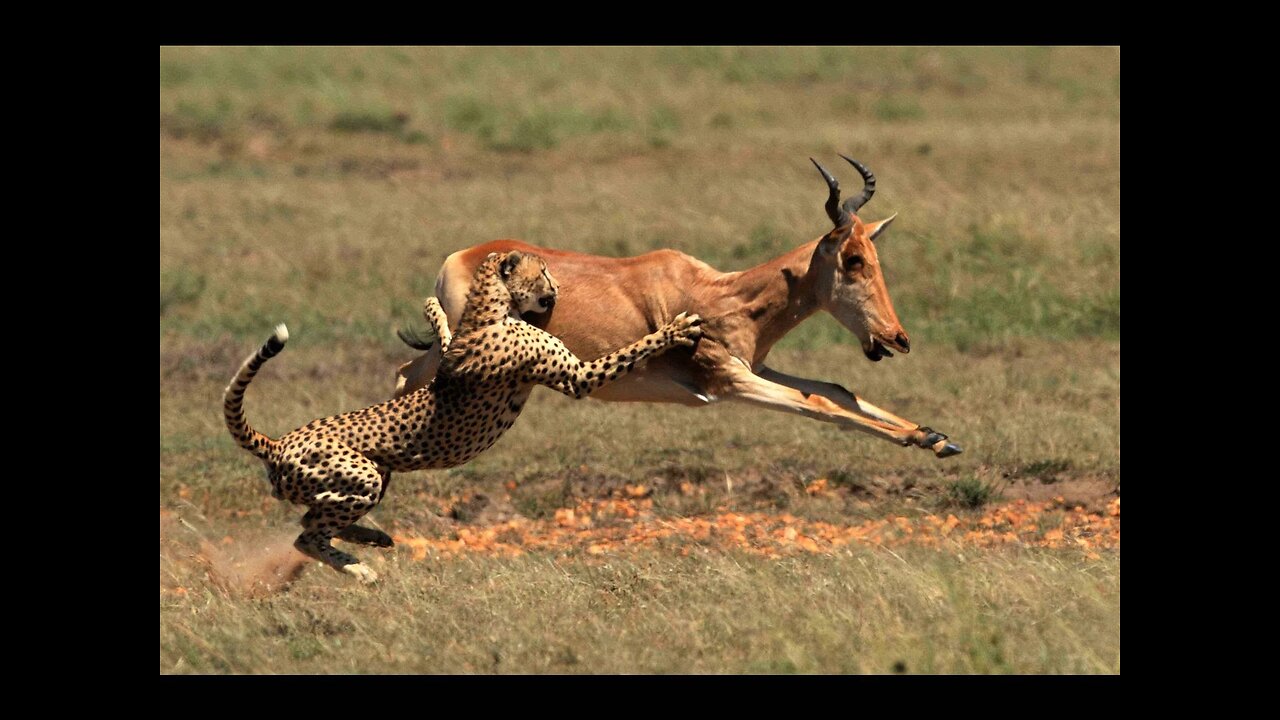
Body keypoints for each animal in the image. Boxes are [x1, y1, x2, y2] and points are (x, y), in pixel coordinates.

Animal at [225, 249, 706, 579]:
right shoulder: (578, 378)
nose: (557, 289)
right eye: (543, 270)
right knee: (307, 533)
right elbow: (631, 350)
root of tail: (276, 442)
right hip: (362, 477)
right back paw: (360, 570)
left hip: (373, 477)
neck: (491, 308)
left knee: (314, 521)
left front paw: (433, 310)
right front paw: (676, 329)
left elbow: (443, 338)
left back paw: (375, 537)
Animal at [394, 156, 962, 456]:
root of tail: (459, 258)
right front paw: (926, 437)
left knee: (405, 373)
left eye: (875, 255)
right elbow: (817, 404)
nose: (897, 338)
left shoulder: (755, 365)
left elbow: (836, 390)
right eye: (852, 259)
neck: (724, 293)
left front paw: (934, 437)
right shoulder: (728, 382)